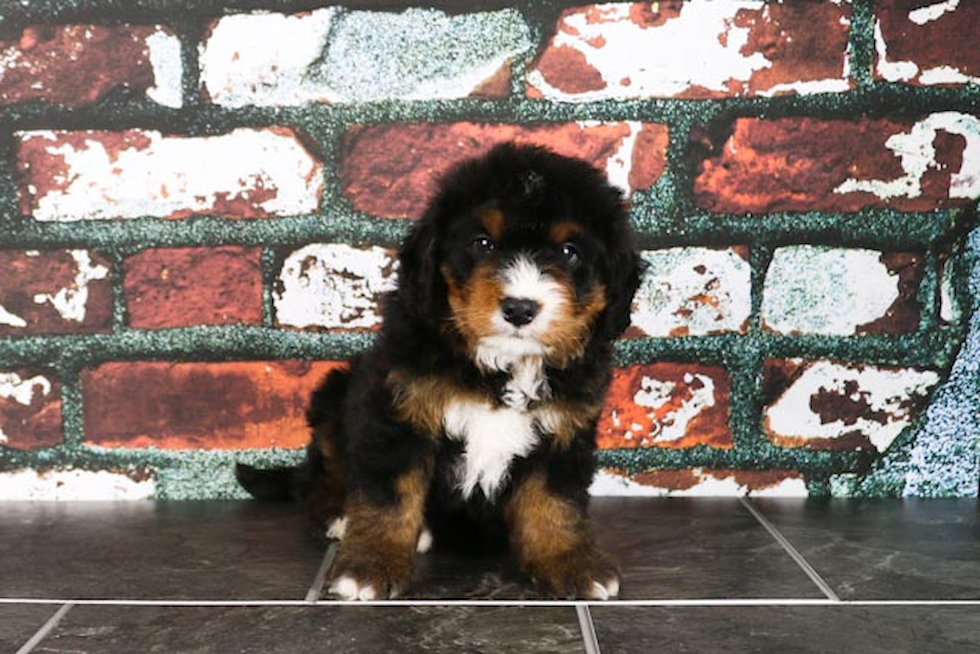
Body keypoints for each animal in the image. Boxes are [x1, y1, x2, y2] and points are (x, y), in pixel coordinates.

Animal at [237, 142, 644, 600]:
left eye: (569, 252)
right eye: (482, 243)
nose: (520, 308)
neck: (502, 365)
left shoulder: (565, 428)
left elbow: (556, 502)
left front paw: (571, 562)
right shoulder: (397, 411)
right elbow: (389, 496)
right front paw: (371, 563)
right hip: (335, 396)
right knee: (314, 478)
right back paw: (338, 516)